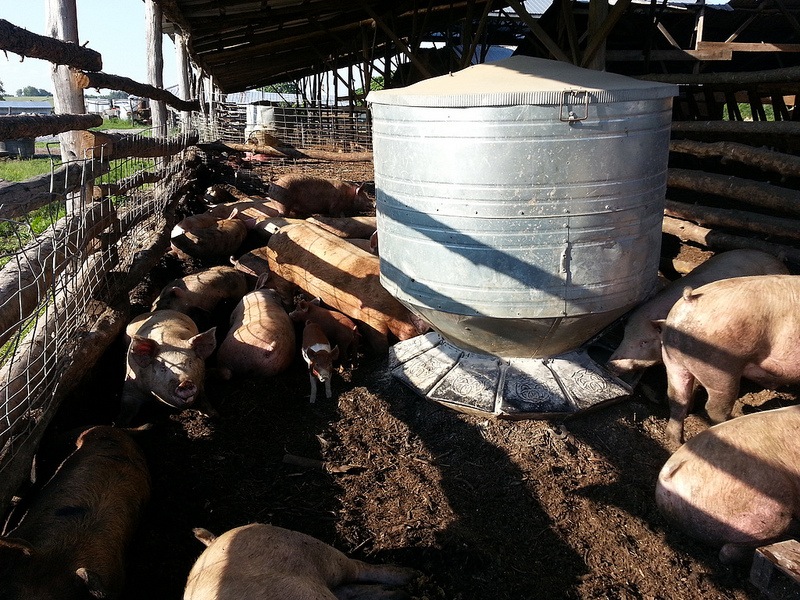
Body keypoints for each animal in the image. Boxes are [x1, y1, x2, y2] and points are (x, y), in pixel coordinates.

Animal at [182, 520, 418, 600]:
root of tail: (214, 542)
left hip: (311, 547)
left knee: (358, 567)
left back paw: (410, 577)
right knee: (349, 586)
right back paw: (403, 589)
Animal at [268, 221, 432, 354]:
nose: (425, 328)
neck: (395, 311)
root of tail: (277, 232)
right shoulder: (370, 320)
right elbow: (380, 343)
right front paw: (381, 353)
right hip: (279, 277)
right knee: (286, 298)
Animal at [660, 274, 800, 448]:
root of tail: (689, 301)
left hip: (673, 361)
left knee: (677, 398)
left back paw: (676, 442)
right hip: (721, 368)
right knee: (714, 408)